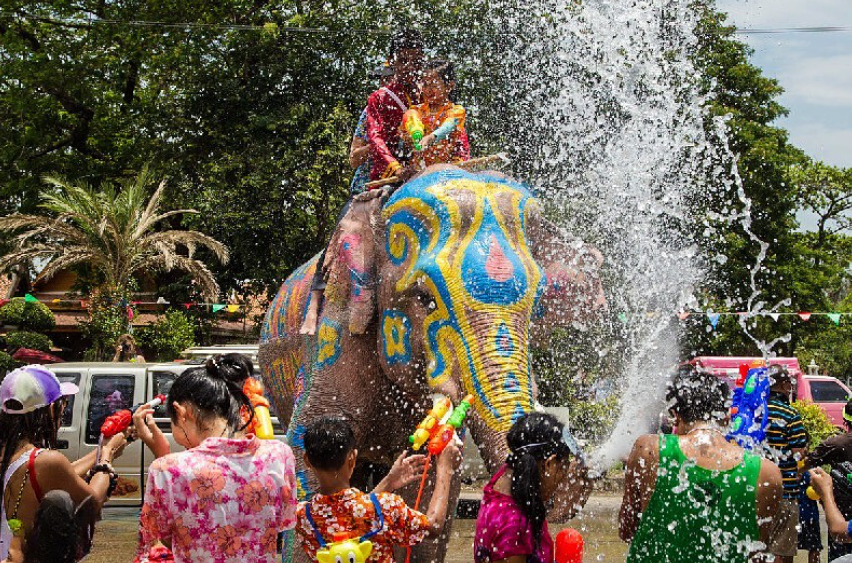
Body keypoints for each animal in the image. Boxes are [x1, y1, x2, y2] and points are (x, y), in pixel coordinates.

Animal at [260, 165, 604, 563]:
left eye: (537, 307)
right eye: (425, 299)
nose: (566, 472)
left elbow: (431, 492)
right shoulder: (334, 336)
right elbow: (309, 448)